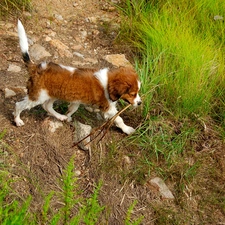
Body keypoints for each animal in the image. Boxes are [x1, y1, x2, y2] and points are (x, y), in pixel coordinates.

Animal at [14, 19, 142, 134]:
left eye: (137, 92)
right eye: (132, 94)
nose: (140, 103)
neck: (108, 81)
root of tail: (36, 68)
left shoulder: (77, 100)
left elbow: (72, 108)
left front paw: (68, 116)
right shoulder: (108, 107)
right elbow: (118, 119)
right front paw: (127, 129)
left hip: (52, 94)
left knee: (47, 106)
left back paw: (60, 117)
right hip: (38, 95)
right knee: (19, 105)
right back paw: (17, 120)